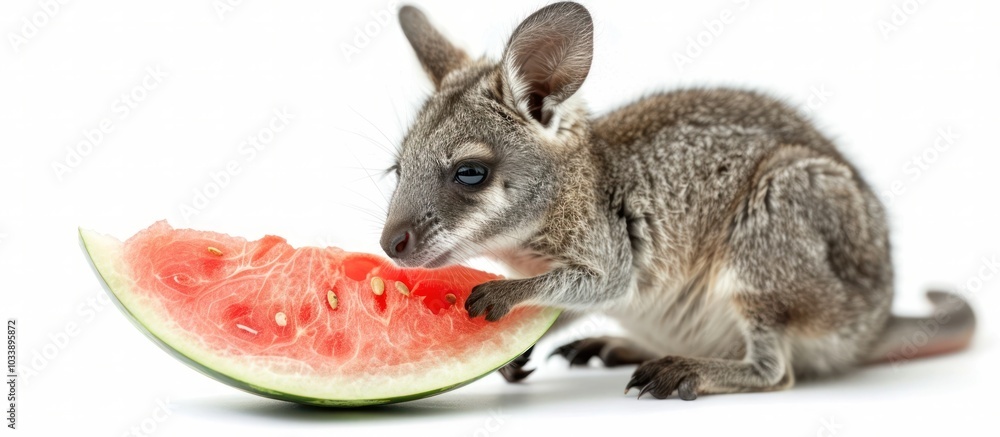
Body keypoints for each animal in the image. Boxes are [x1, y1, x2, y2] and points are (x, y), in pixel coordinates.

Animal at [378, 2, 976, 400]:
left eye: (470, 173)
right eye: (398, 169)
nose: (390, 245)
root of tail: (874, 325)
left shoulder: (611, 245)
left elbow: (596, 284)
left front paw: (503, 296)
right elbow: (563, 307)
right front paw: (516, 352)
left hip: (778, 220)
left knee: (775, 370)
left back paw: (686, 370)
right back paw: (619, 347)